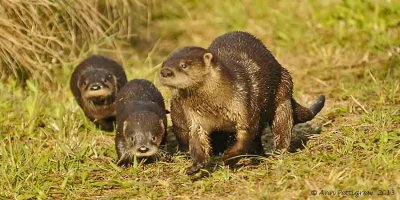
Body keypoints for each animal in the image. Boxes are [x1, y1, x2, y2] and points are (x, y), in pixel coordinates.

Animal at [158, 30, 324, 174]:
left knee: (282, 126)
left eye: (183, 65)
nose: (165, 72)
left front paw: (228, 156)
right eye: (163, 64)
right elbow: (198, 141)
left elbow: (246, 134)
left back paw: (276, 153)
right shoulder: (196, 119)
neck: (214, 106)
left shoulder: (244, 105)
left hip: (283, 92)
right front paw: (196, 165)